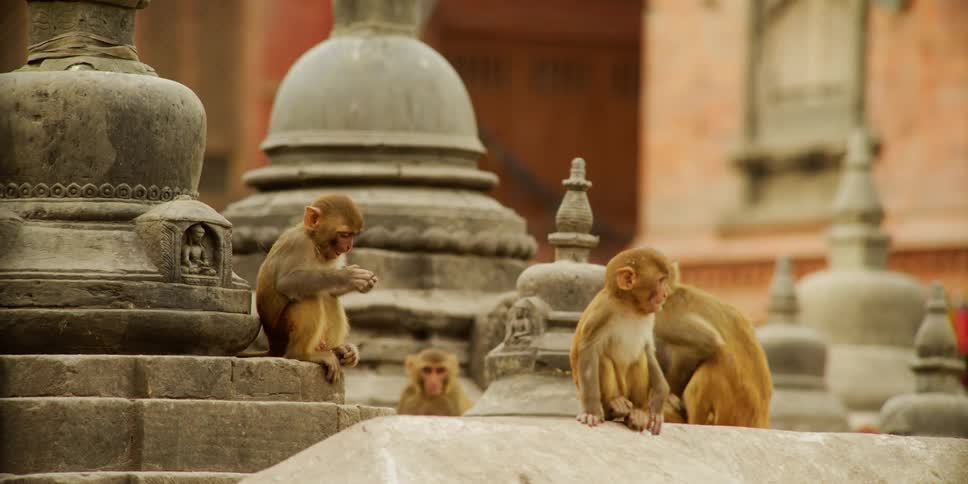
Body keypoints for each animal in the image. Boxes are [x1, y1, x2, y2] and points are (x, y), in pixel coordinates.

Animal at [244, 194, 378, 384]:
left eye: (352, 235)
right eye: (344, 234)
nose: (348, 247)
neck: (315, 243)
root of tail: (274, 347)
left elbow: (332, 291)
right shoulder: (298, 244)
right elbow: (287, 282)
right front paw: (348, 276)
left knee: (328, 297)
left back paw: (339, 350)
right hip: (282, 333)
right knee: (309, 297)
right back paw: (303, 354)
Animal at [569, 247, 675, 435]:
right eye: (661, 281)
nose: (666, 294)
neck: (630, 307)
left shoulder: (651, 317)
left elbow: (648, 350)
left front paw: (660, 397)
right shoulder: (602, 312)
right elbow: (589, 349)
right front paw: (592, 412)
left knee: (640, 359)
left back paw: (638, 412)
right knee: (602, 359)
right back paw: (613, 404)